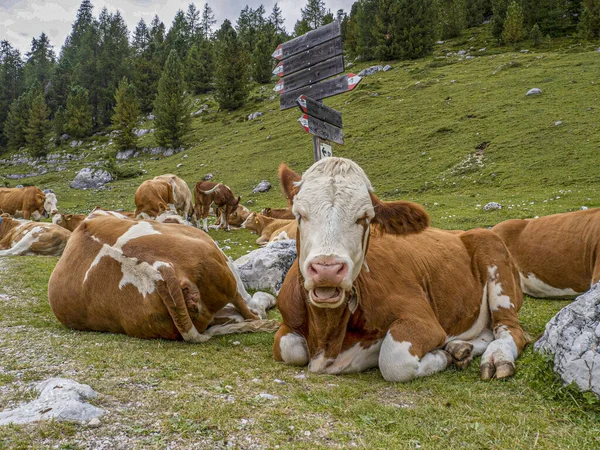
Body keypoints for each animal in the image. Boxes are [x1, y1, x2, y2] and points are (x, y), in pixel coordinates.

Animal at [272, 156, 524, 382]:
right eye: (299, 214)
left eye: (365, 217)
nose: (327, 269)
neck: (327, 333)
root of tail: (463, 232)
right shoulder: (288, 323)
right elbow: (290, 348)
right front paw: (450, 353)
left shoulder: (424, 321)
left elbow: (394, 359)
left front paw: (442, 356)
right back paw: (459, 349)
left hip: (498, 271)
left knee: (510, 330)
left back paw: (496, 358)